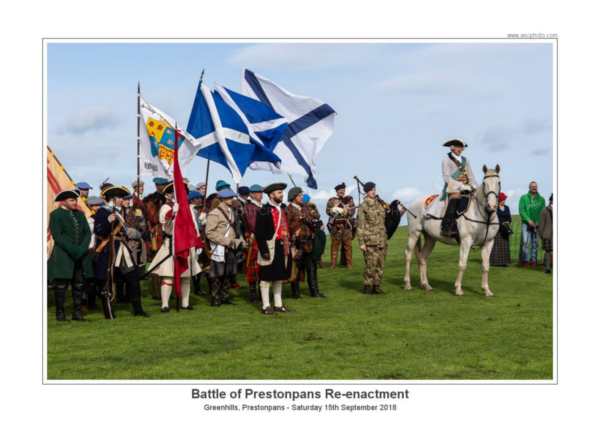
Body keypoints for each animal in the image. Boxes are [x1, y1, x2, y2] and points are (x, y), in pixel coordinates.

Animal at [404, 165, 502, 297]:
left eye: (498, 182)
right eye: (484, 183)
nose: (491, 206)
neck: (484, 216)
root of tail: (413, 204)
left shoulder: (488, 243)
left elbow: (486, 266)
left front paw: (486, 290)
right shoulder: (466, 242)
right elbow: (462, 264)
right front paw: (458, 288)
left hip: (430, 238)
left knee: (423, 257)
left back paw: (426, 285)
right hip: (414, 233)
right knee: (408, 255)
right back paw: (407, 284)